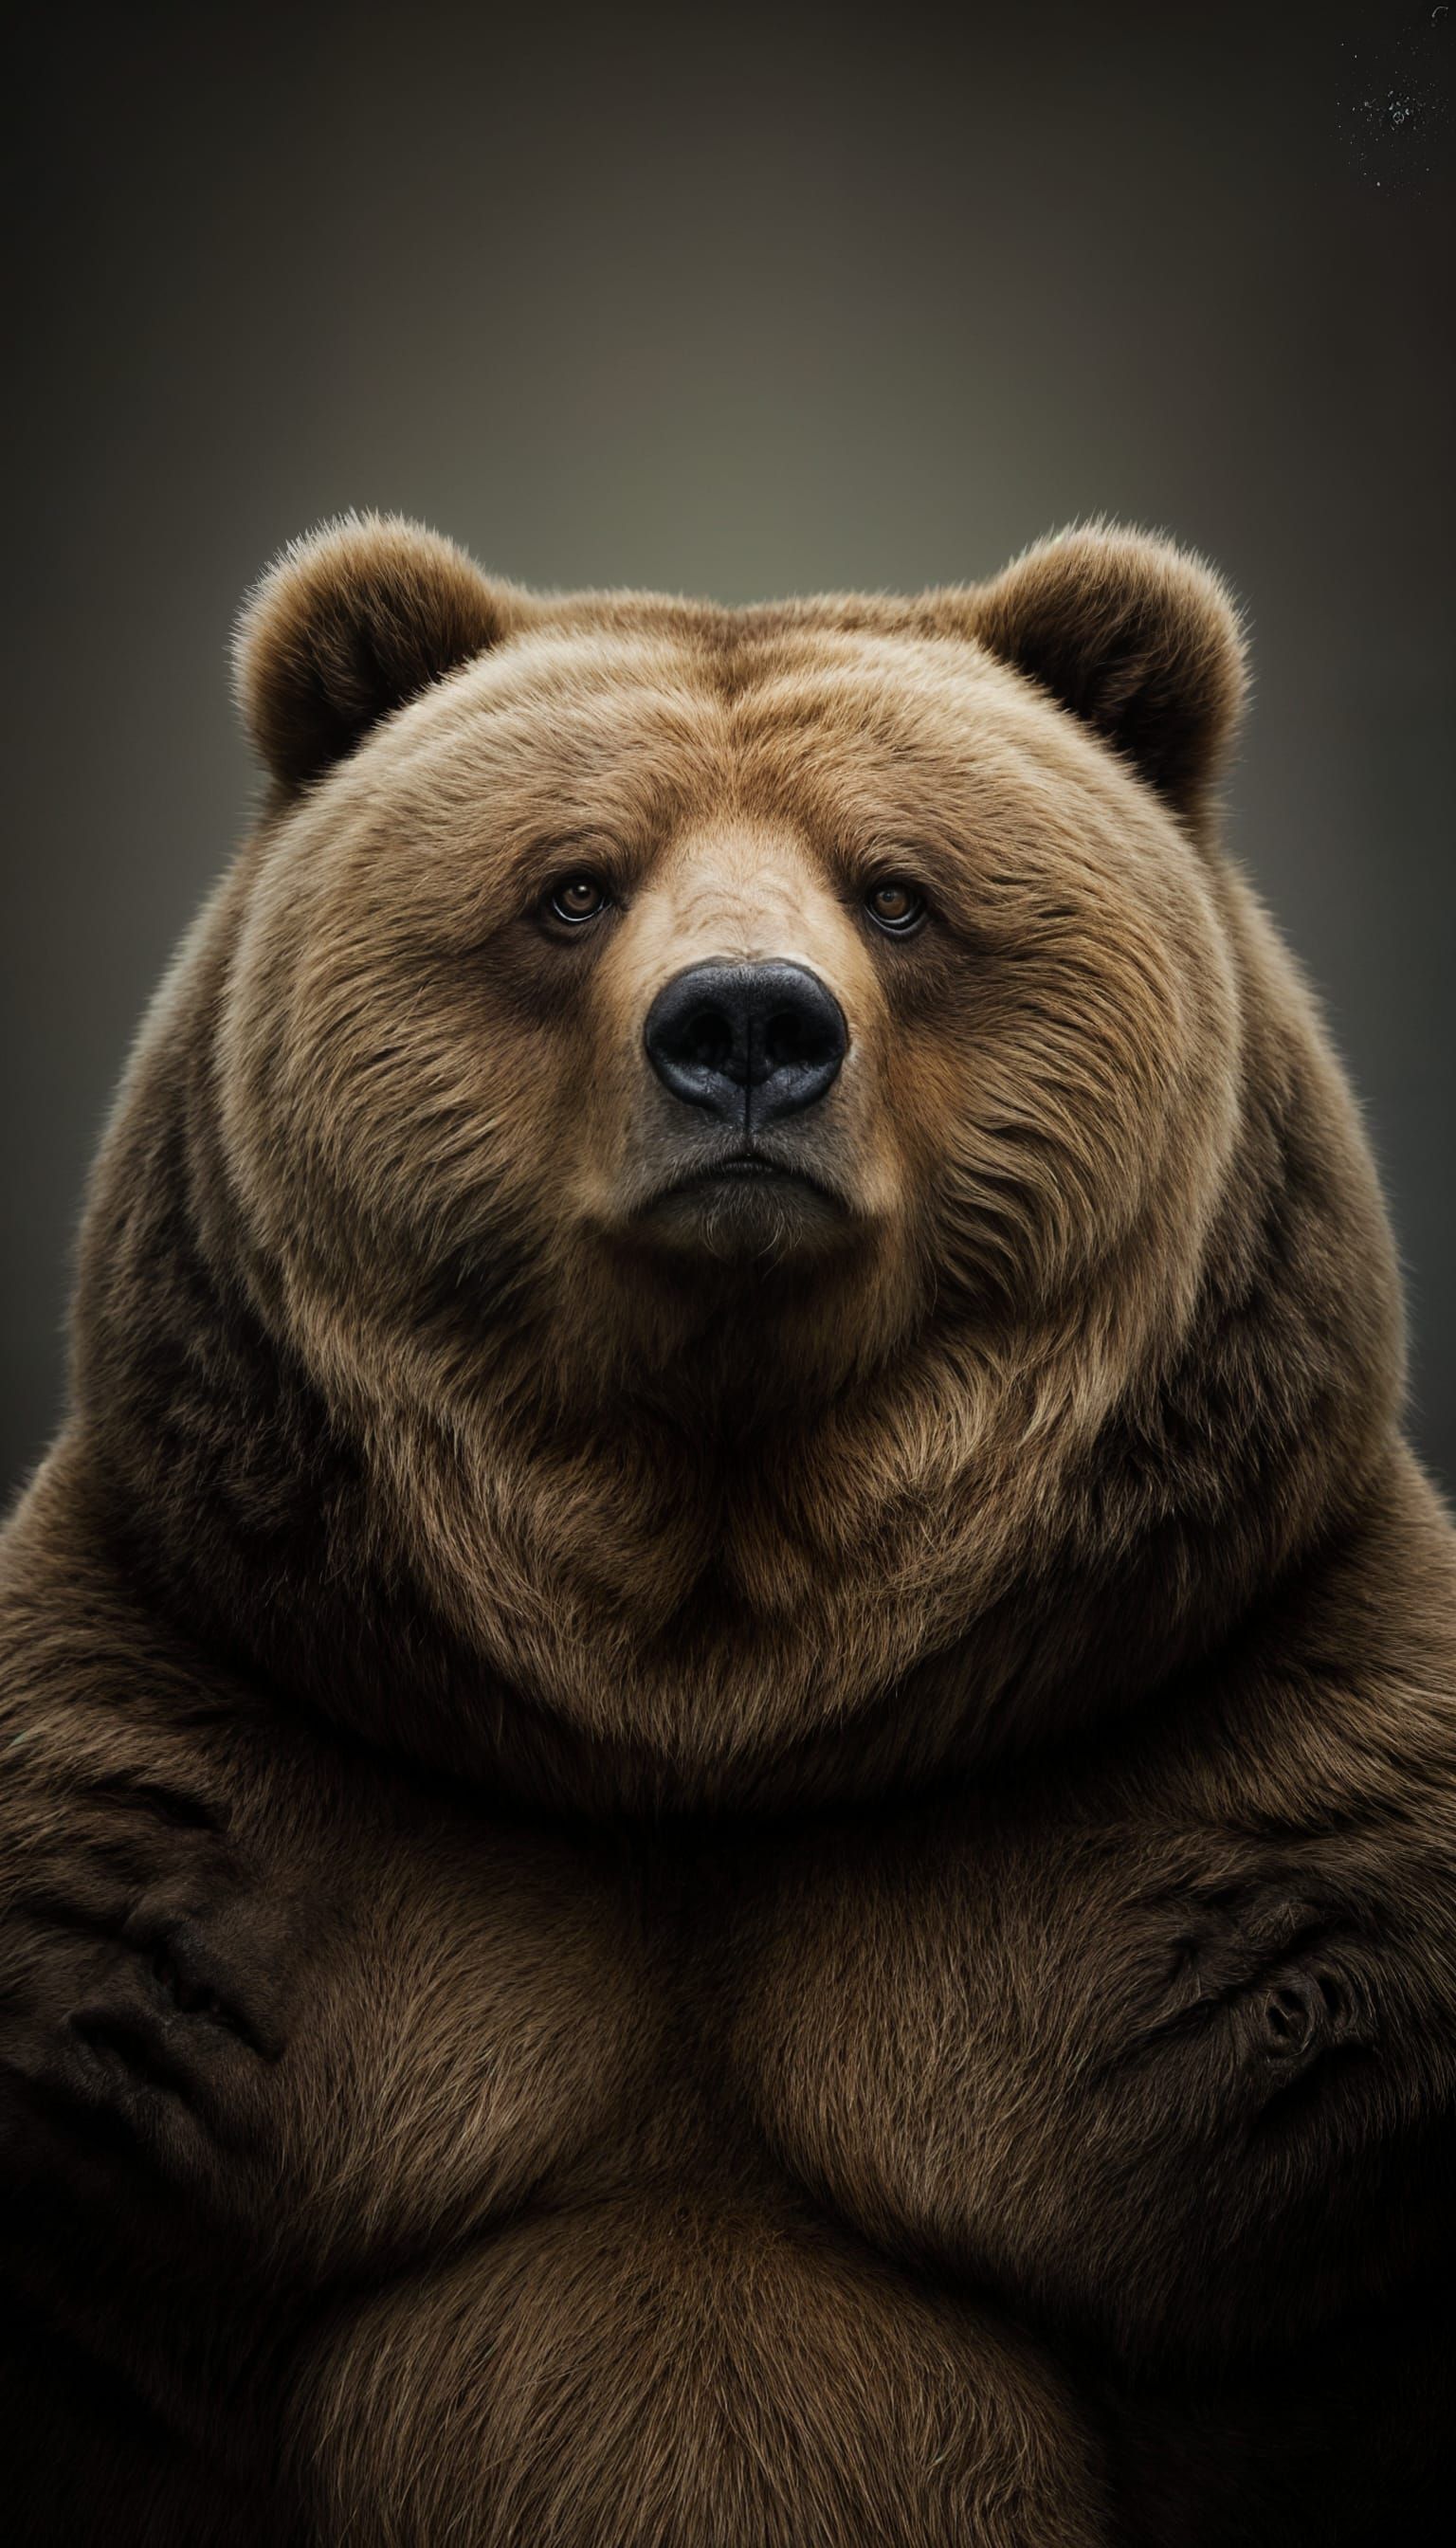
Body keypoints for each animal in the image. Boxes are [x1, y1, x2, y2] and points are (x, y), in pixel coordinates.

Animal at [1, 511, 1454, 2547]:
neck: (717, 1703)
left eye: (902, 892)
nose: (749, 1023)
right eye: (573, 886)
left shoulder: (1247, 1836)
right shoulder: (199, 1848)